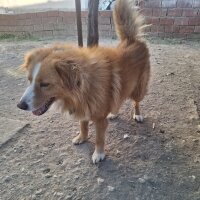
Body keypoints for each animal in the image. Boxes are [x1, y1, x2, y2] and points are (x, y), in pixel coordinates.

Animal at [17, 0, 150, 163]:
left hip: (139, 89)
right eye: (29, 80)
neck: (82, 88)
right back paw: (113, 113)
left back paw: (137, 114)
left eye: (45, 84)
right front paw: (82, 137)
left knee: (136, 102)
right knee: (118, 99)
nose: (20, 105)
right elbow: (83, 124)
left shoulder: (99, 120)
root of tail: (131, 40)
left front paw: (98, 153)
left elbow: (99, 138)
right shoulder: (83, 108)